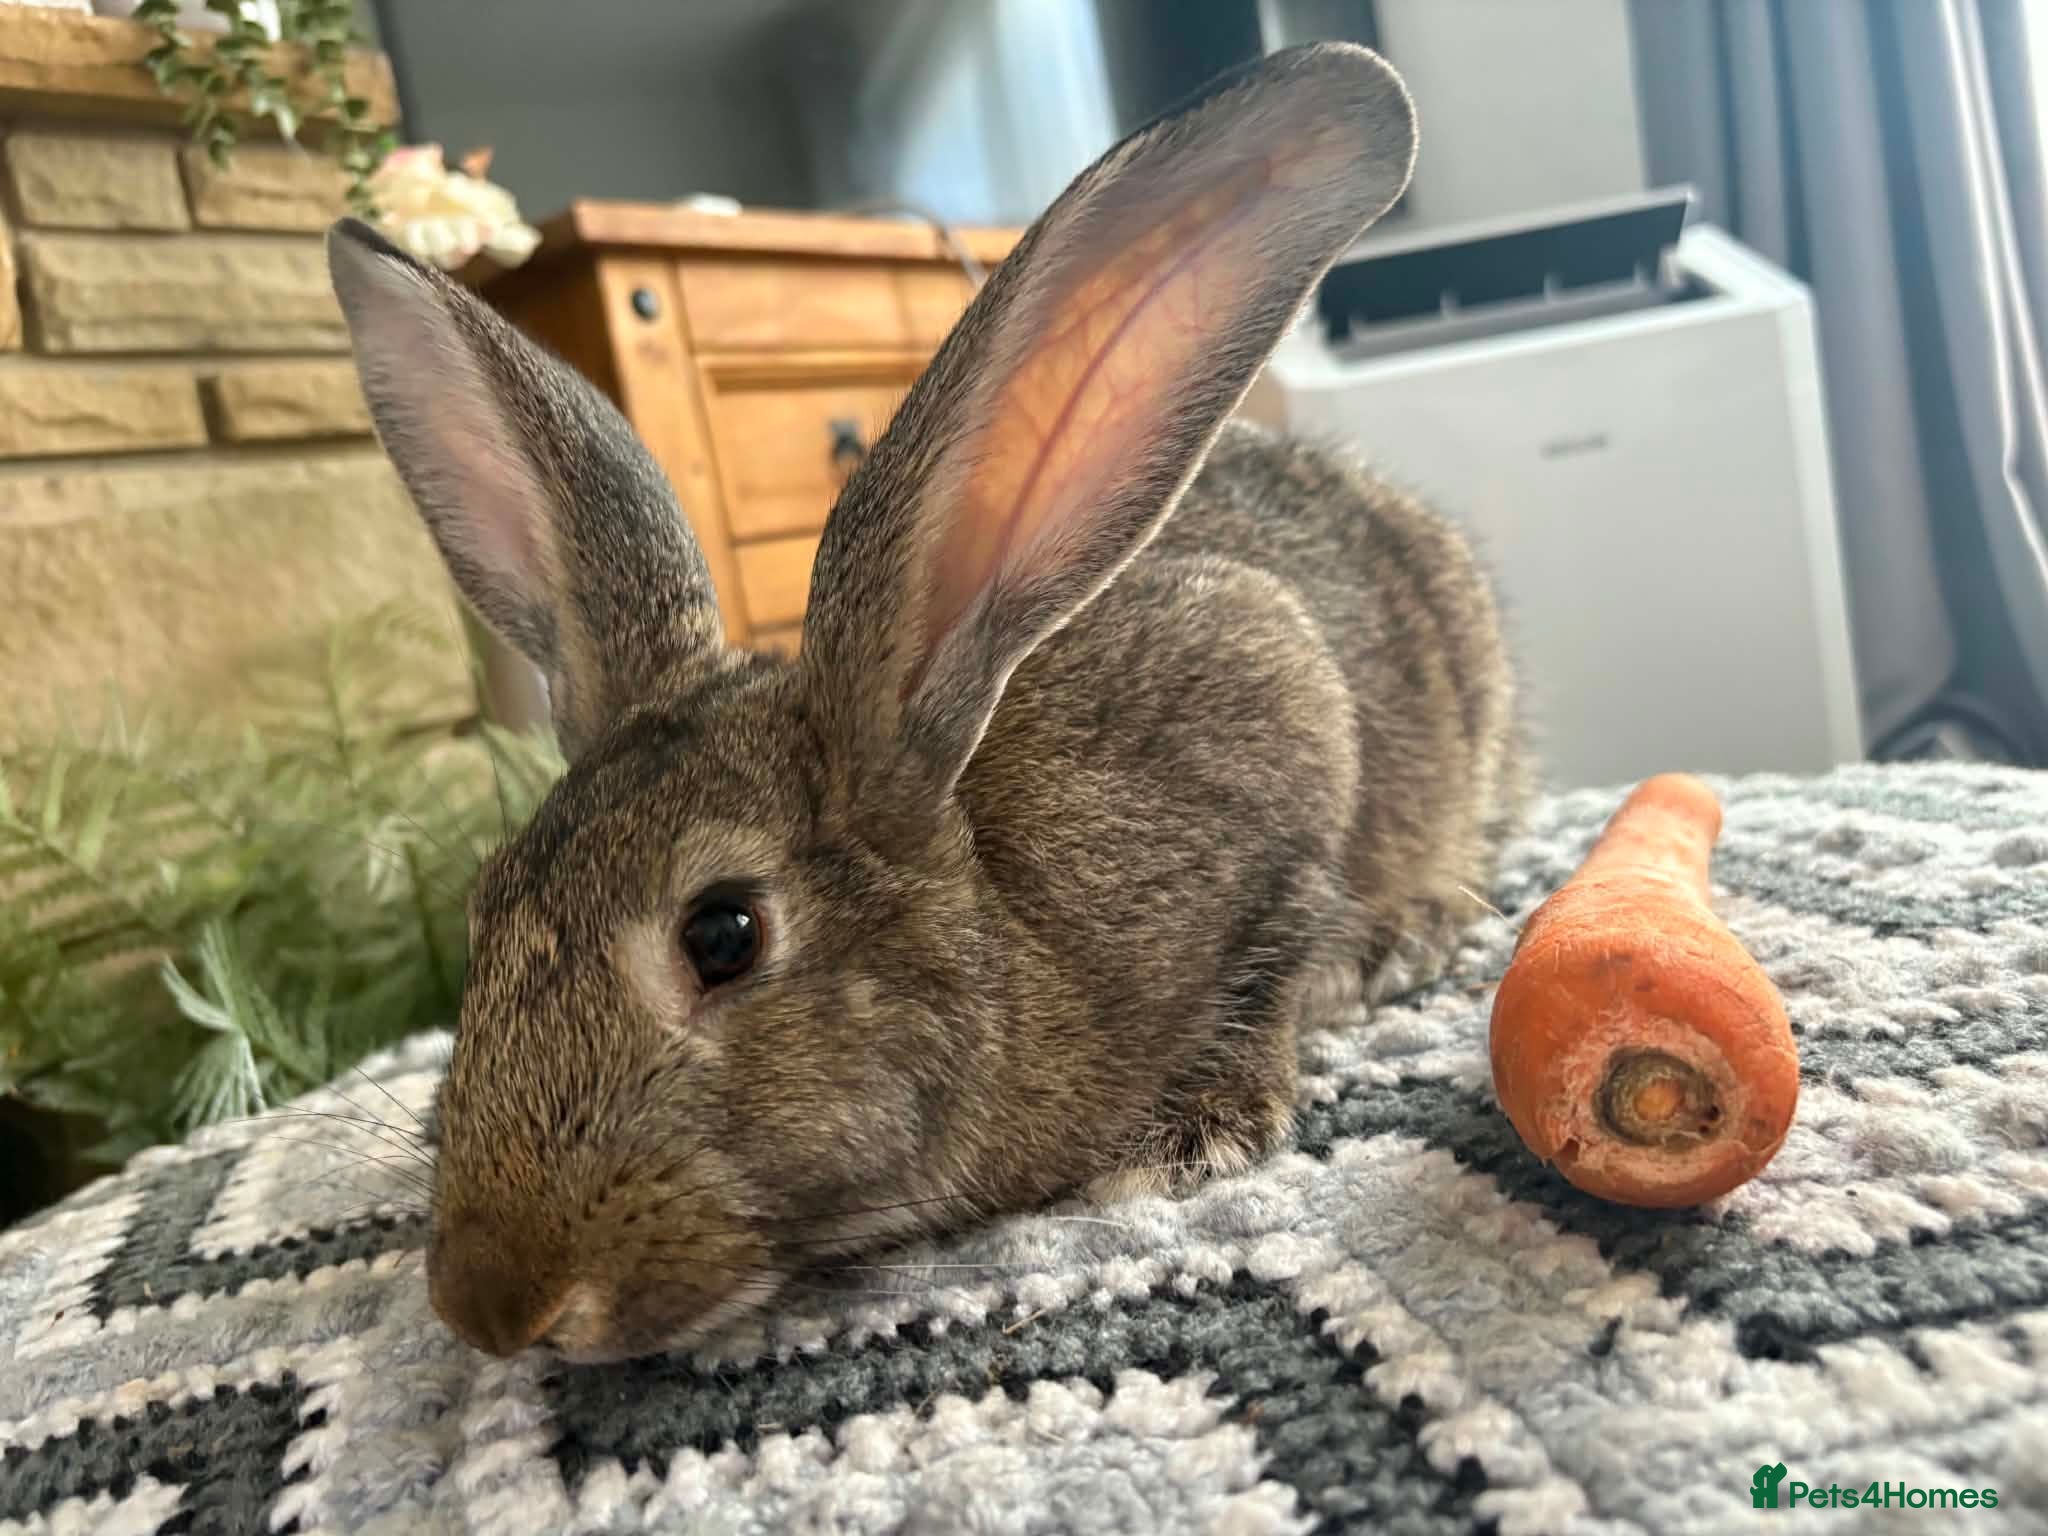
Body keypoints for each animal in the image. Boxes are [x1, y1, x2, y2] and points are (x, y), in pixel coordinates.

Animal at [326, 41, 1526, 1364]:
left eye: (722, 936)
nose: (491, 1305)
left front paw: (1191, 1133)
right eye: (482, 913)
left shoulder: (1278, 707)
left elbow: (1277, 944)